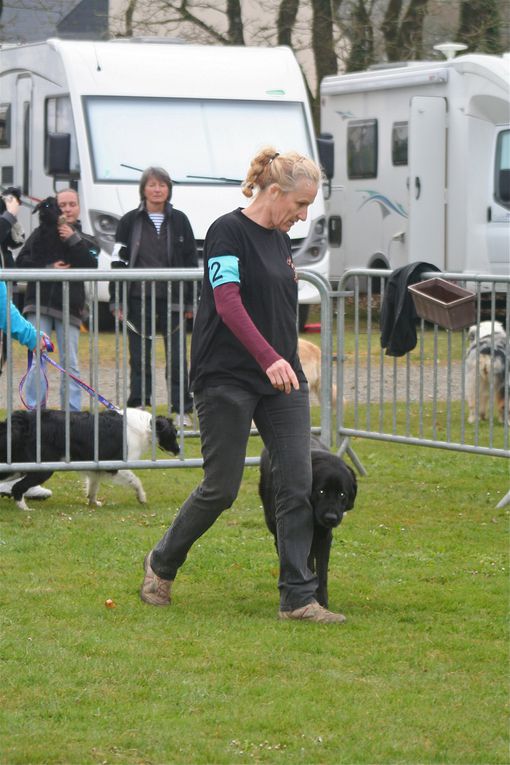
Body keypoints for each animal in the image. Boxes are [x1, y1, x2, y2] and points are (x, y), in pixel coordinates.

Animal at [258, 436, 358, 608]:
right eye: (321, 491)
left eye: (342, 494)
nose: (331, 518)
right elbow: (305, 565)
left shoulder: (324, 538)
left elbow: (322, 572)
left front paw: (322, 602)